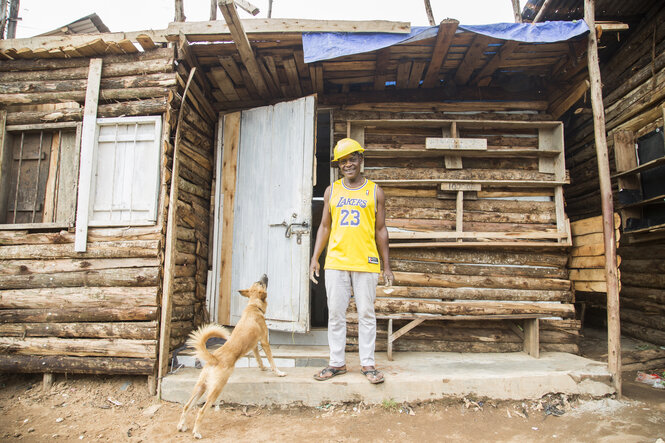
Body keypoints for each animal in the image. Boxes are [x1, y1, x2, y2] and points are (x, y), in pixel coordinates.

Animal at [175, 274, 284, 440]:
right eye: (260, 283)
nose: (265, 274)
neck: (254, 306)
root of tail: (214, 358)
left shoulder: (254, 345)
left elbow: (258, 358)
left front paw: (262, 368)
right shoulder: (264, 341)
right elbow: (271, 360)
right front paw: (277, 372)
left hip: (200, 386)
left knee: (187, 405)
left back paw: (182, 425)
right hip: (216, 388)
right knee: (201, 410)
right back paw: (197, 432)